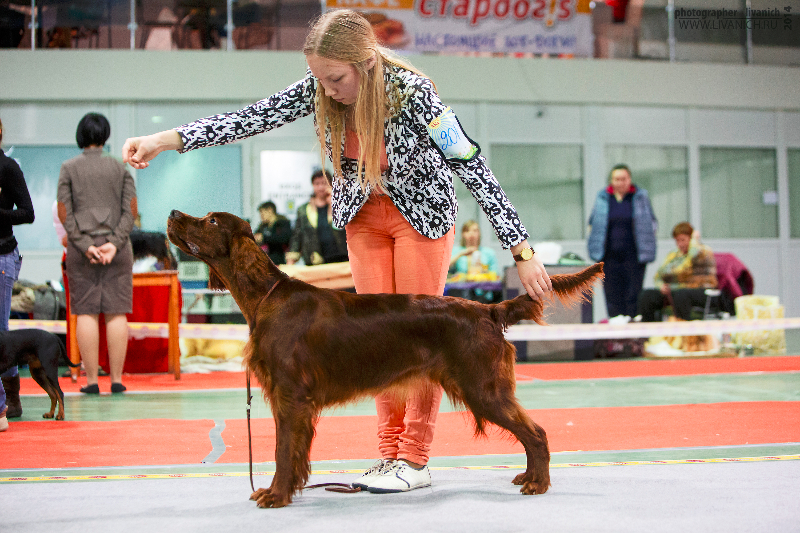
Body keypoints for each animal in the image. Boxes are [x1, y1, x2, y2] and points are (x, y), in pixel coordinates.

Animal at [169, 209, 608, 508]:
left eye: (210, 220)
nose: (173, 214)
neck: (267, 297)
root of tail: (488, 310)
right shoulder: (290, 399)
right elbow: (290, 452)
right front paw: (285, 490)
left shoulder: (290, 396)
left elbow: (281, 451)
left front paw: (275, 495)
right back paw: (530, 478)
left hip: (483, 389)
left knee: (537, 433)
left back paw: (538, 482)